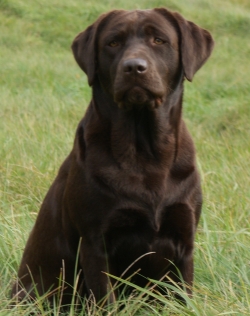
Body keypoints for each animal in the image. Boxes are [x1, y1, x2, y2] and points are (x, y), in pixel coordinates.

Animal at [11, 6, 214, 304]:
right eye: (113, 43)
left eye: (159, 40)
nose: (134, 67)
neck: (144, 151)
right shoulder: (95, 243)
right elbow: (105, 298)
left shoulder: (184, 239)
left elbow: (183, 295)